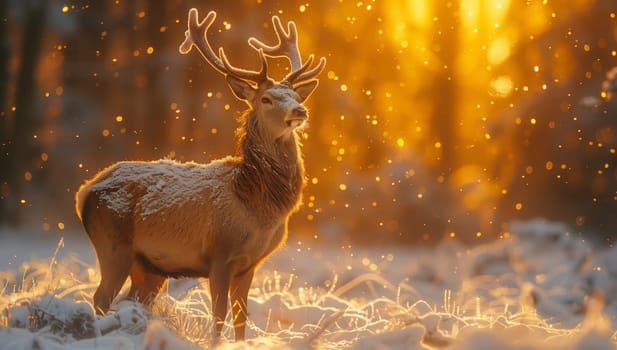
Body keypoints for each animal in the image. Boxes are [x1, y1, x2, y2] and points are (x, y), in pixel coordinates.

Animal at [74, 8, 324, 342]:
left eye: (296, 95)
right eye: (266, 99)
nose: (300, 111)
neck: (256, 204)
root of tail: (85, 191)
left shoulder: (250, 264)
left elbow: (241, 318)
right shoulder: (219, 254)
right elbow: (219, 315)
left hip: (149, 266)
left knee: (131, 300)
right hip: (113, 246)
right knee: (100, 298)